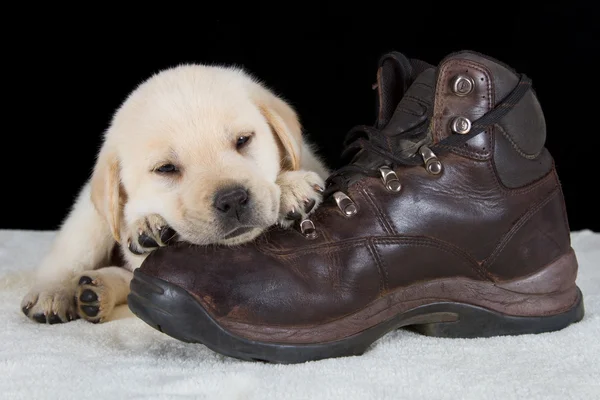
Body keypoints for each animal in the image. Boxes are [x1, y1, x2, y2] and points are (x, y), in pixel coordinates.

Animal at [19, 64, 328, 324]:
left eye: (243, 140)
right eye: (166, 168)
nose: (232, 200)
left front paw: (290, 187)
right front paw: (147, 225)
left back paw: (95, 293)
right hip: (89, 220)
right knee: (69, 256)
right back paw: (55, 293)